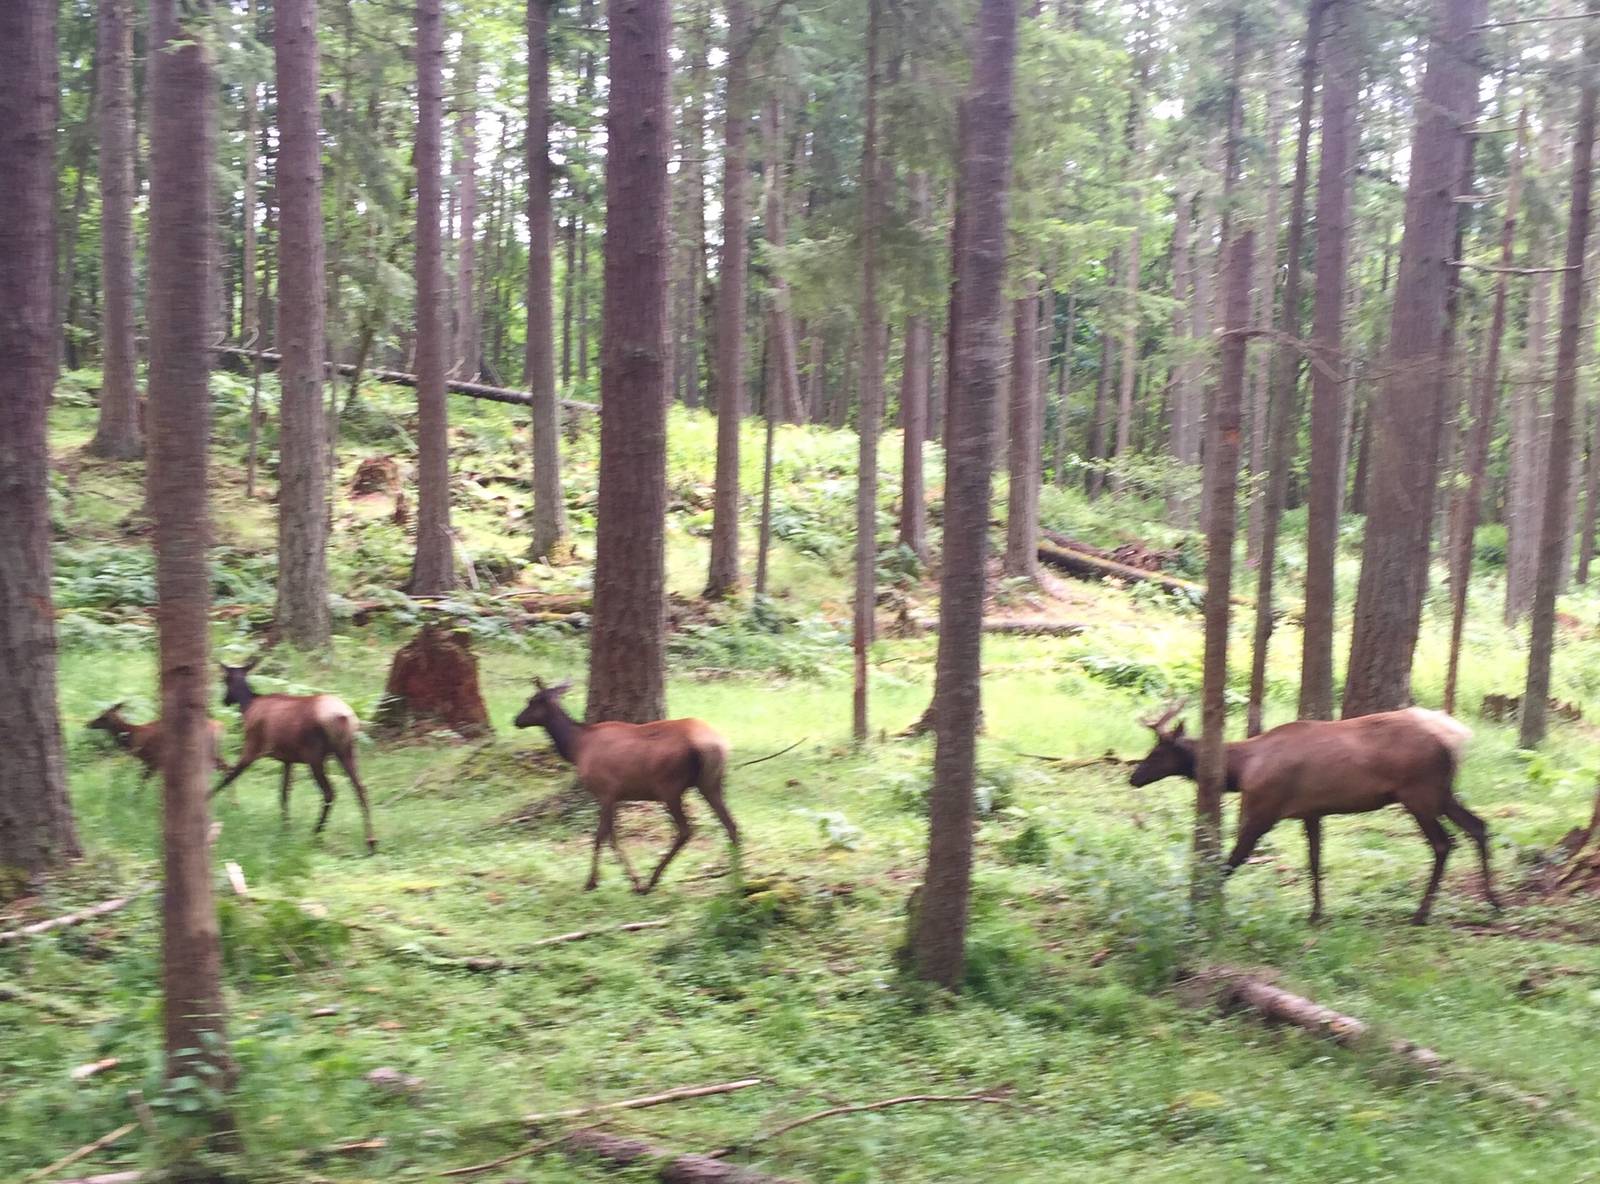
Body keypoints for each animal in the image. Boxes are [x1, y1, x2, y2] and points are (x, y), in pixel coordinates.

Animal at [87, 703, 228, 783]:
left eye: (103, 717)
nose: (88, 723)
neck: (132, 735)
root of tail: (219, 726)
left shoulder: (153, 759)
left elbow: (142, 782)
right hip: (214, 752)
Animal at [209, 659, 378, 853]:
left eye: (224, 679)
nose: (225, 700)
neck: (249, 705)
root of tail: (345, 717)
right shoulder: (288, 759)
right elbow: (284, 793)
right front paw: (286, 827)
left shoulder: (253, 747)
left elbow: (228, 777)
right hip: (347, 750)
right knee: (361, 788)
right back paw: (371, 841)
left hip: (315, 755)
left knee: (330, 792)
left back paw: (316, 833)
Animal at [513, 677, 738, 893]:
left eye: (531, 701)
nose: (516, 720)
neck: (577, 748)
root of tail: (714, 745)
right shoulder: (616, 796)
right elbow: (611, 836)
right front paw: (628, 880)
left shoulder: (605, 792)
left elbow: (602, 836)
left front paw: (594, 882)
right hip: (711, 782)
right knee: (731, 824)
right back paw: (736, 879)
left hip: (670, 786)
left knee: (686, 830)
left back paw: (653, 880)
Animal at [1128, 699, 1500, 925]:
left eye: (1157, 753)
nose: (1133, 777)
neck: (1240, 771)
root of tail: (1456, 740)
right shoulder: (1312, 812)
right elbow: (1315, 861)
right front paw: (1317, 913)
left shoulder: (1263, 808)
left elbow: (1231, 861)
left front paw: (1196, 912)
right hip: (1442, 792)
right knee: (1479, 826)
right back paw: (1493, 901)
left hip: (1418, 793)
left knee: (1444, 843)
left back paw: (1422, 913)